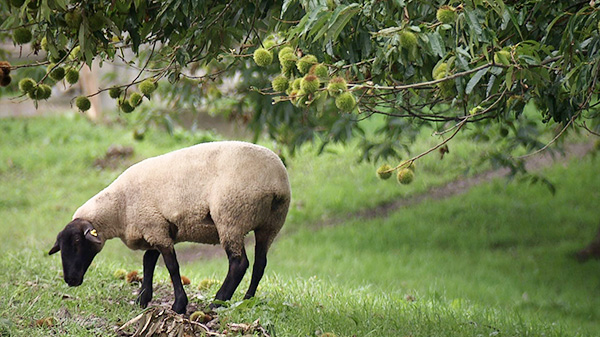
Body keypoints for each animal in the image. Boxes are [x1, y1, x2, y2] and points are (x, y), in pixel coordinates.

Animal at [49, 139, 290, 312]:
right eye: (61, 247)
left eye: (78, 243)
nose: (70, 280)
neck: (119, 207)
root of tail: (275, 181)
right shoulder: (155, 229)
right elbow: (148, 262)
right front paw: (142, 299)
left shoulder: (156, 228)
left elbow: (172, 266)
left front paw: (178, 305)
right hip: (271, 223)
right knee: (260, 264)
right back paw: (247, 300)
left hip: (231, 217)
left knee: (239, 263)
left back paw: (217, 303)